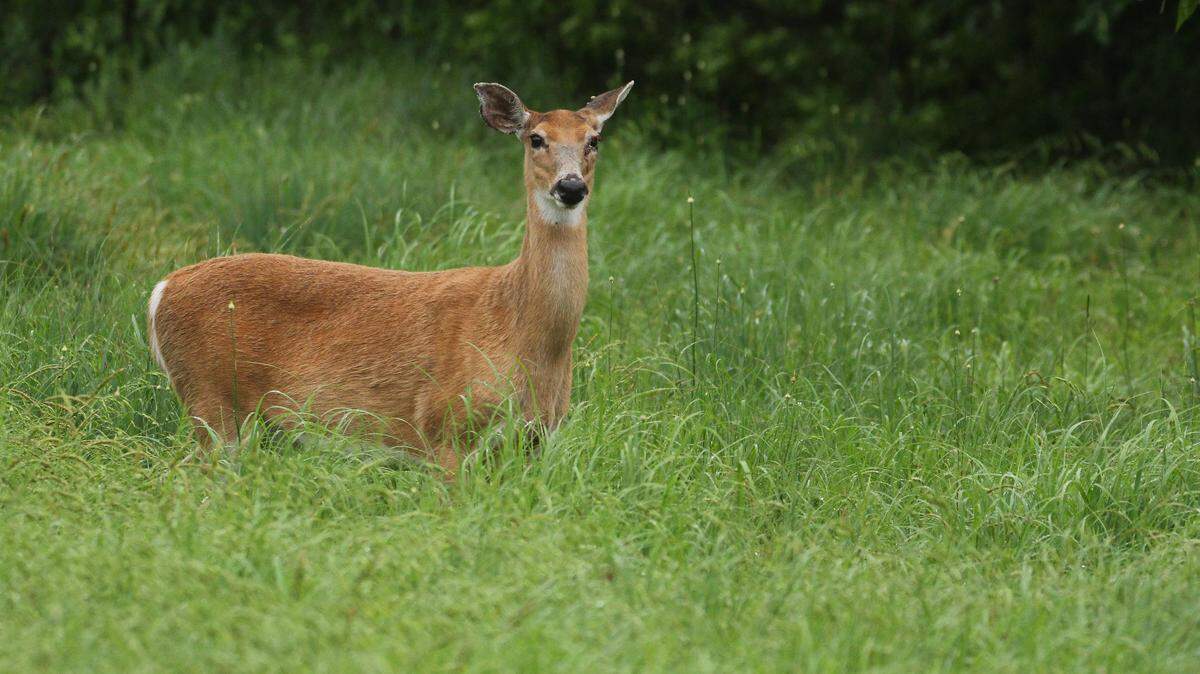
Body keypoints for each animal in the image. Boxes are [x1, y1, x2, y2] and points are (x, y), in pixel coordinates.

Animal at [147, 80, 633, 475]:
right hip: (209, 395)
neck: (521, 331)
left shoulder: (535, 440)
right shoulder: (443, 426)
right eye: (536, 139)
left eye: (594, 140)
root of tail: (159, 292)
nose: (570, 187)